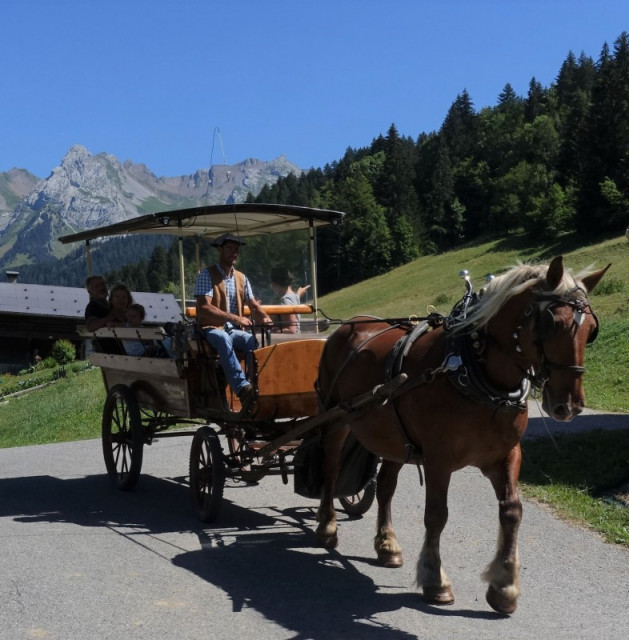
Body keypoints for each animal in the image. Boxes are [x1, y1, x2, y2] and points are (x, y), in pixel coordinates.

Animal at [314, 255, 608, 616]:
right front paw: (435, 580)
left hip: (395, 437)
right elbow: (436, 515)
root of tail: (347, 326)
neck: (474, 370)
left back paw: (387, 545)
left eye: (591, 330)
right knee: (330, 470)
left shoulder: (506, 455)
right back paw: (327, 527)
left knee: (385, 487)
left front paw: (504, 586)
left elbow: (512, 511)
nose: (569, 405)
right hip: (336, 420)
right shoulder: (438, 460)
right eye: (551, 323)